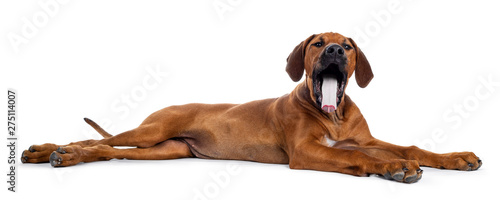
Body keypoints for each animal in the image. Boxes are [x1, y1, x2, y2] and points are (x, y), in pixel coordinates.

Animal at [22, 32, 480, 183]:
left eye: (347, 46)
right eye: (319, 43)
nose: (334, 50)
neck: (331, 115)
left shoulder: (358, 139)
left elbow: (411, 147)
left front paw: (455, 157)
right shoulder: (306, 152)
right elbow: (367, 158)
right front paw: (390, 167)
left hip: (167, 150)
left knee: (107, 149)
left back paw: (64, 156)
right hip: (151, 131)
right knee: (93, 139)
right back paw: (48, 151)